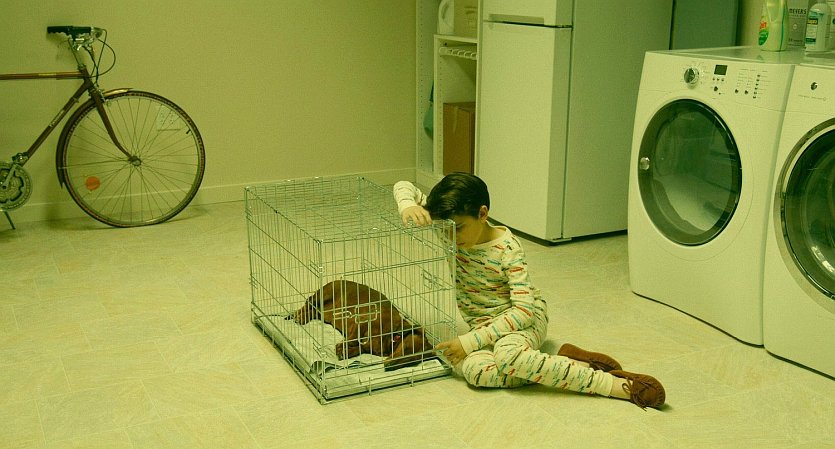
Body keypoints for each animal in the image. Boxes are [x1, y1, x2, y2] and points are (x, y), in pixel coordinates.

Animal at [289, 280, 434, 369]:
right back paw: (300, 316)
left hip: (323, 312)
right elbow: (353, 338)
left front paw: (346, 352)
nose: (389, 366)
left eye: (415, 360)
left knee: (313, 311)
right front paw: (342, 346)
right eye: (407, 349)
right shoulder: (362, 322)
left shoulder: (368, 347)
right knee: (307, 305)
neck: (390, 337)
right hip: (321, 297)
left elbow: (360, 348)